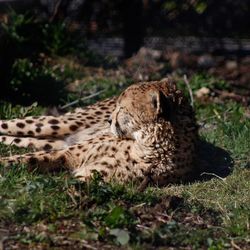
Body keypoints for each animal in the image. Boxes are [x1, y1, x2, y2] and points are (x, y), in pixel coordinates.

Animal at [0, 79, 199, 187]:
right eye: (117, 105)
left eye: (122, 108)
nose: (109, 120)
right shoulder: (68, 154)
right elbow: (24, 158)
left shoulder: (88, 176)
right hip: (62, 124)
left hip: (57, 139)